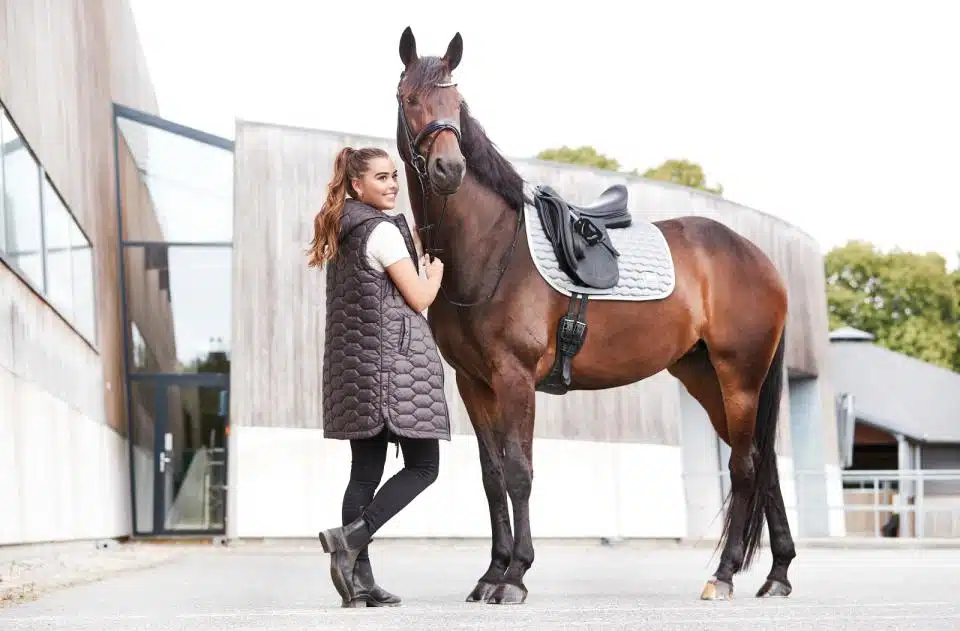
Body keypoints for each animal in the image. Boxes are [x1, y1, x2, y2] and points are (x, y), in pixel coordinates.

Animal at [393, 26, 796, 605]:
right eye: (409, 99)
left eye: (457, 104)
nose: (450, 169)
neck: (491, 247)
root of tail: (761, 260)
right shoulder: (473, 382)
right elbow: (492, 476)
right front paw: (490, 575)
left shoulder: (515, 377)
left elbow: (520, 471)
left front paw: (515, 576)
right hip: (706, 379)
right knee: (765, 464)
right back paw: (778, 573)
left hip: (739, 377)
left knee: (744, 466)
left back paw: (723, 575)